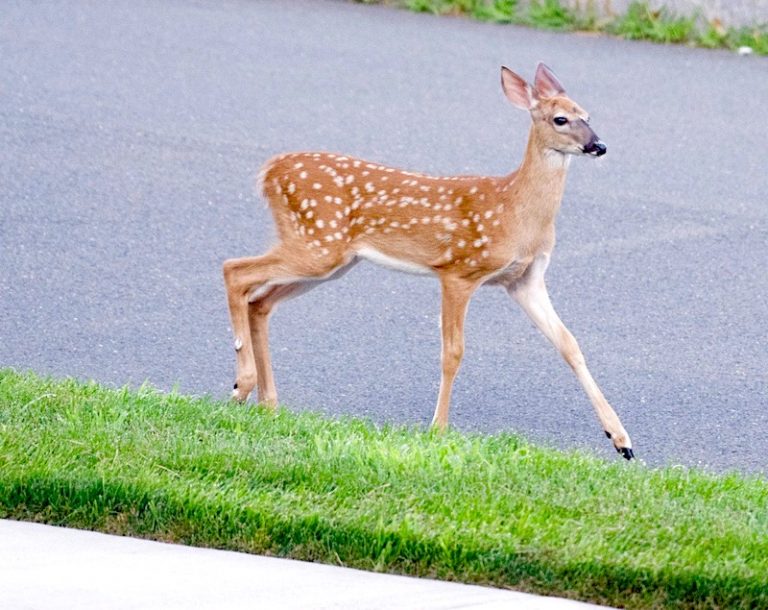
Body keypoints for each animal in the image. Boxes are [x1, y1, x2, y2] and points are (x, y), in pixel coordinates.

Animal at [223, 63, 634, 460]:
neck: (515, 210)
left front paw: (621, 439)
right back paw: (242, 385)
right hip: (318, 243)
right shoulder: (459, 269)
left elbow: (569, 344)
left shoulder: (524, 279)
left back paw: (268, 402)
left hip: (330, 259)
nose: (598, 145)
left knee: (260, 301)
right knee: (235, 270)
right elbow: (453, 352)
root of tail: (268, 171)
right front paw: (438, 429)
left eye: (587, 114)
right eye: (560, 119)